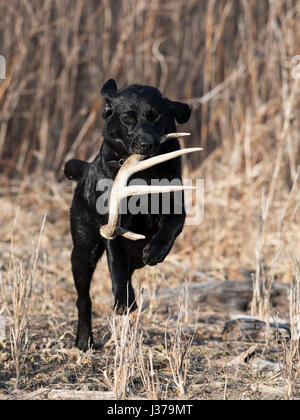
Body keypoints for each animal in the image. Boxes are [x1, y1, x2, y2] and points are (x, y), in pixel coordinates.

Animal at [65, 79, 192, 352]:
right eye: (127, 118)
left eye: (156, 116)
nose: (146, 144)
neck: (144, 173)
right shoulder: (113, 226)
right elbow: (116, 266)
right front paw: (124, 302)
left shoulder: (176, 205)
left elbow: (171, 226)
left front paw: (155, 250)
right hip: (82, 252)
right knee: (84, 298)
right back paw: (84, 340)